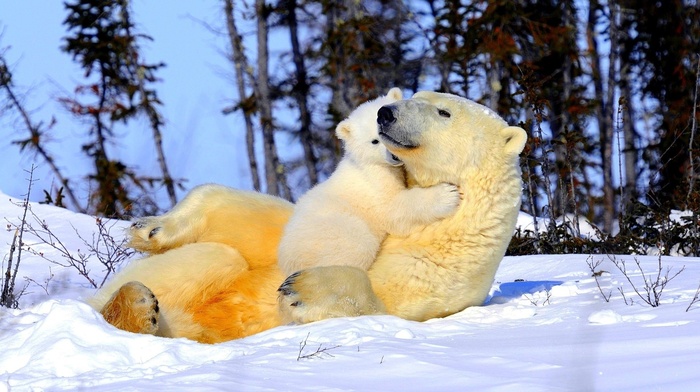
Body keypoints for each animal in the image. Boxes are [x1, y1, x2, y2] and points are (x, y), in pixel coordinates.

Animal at [89, 92, 524, 344]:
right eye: (415, 93)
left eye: (444, 111)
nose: (386, 113)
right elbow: (254, 221)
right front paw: (150, 227)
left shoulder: (443, 269)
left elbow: (384, 302)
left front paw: (303, 288)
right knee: (215, 257)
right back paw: (135, 299)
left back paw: (138, 309)